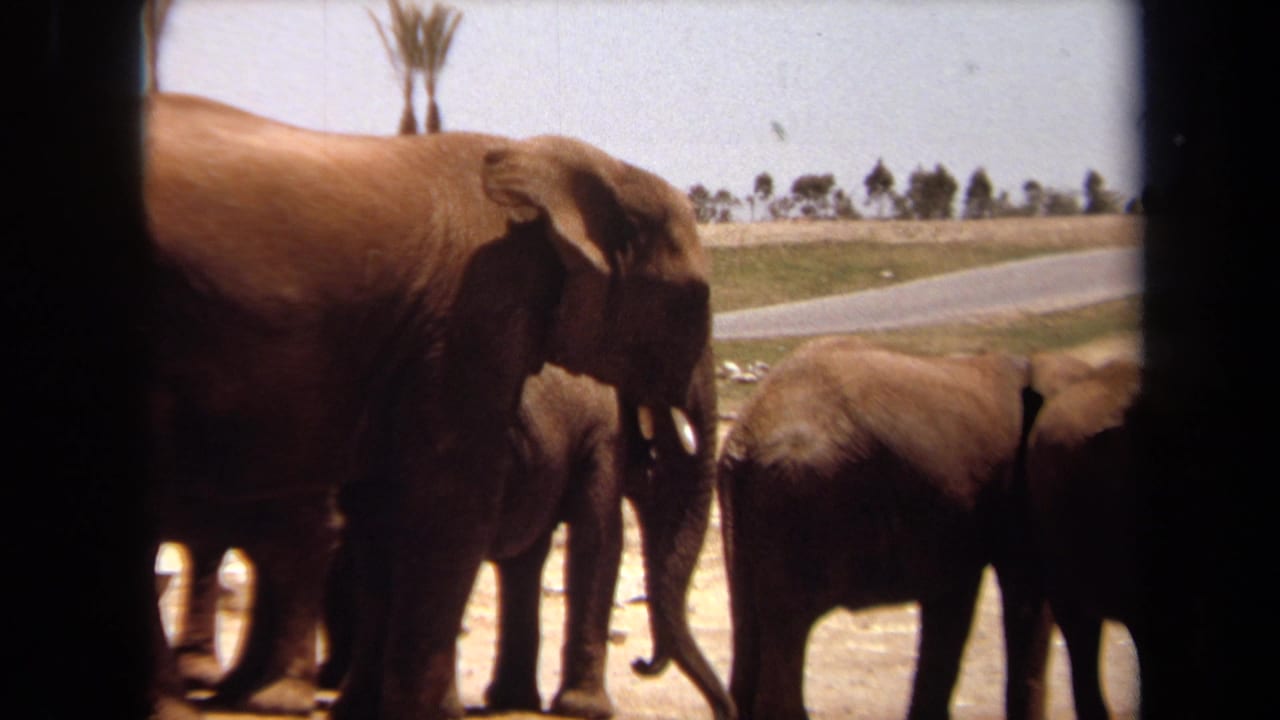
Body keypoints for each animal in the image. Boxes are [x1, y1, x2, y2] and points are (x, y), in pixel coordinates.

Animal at [143, 92, 712, 720]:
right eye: (695, 300)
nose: (643, 662)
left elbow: (383, 505)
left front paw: (364, 710)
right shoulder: (474, 310)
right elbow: (455, 496)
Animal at [716, 337, 1052, 720]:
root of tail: (744, 436)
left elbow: (953, 602)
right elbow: (1023, 591)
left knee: (748, 635)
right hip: (795, 500)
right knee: (787, 630)